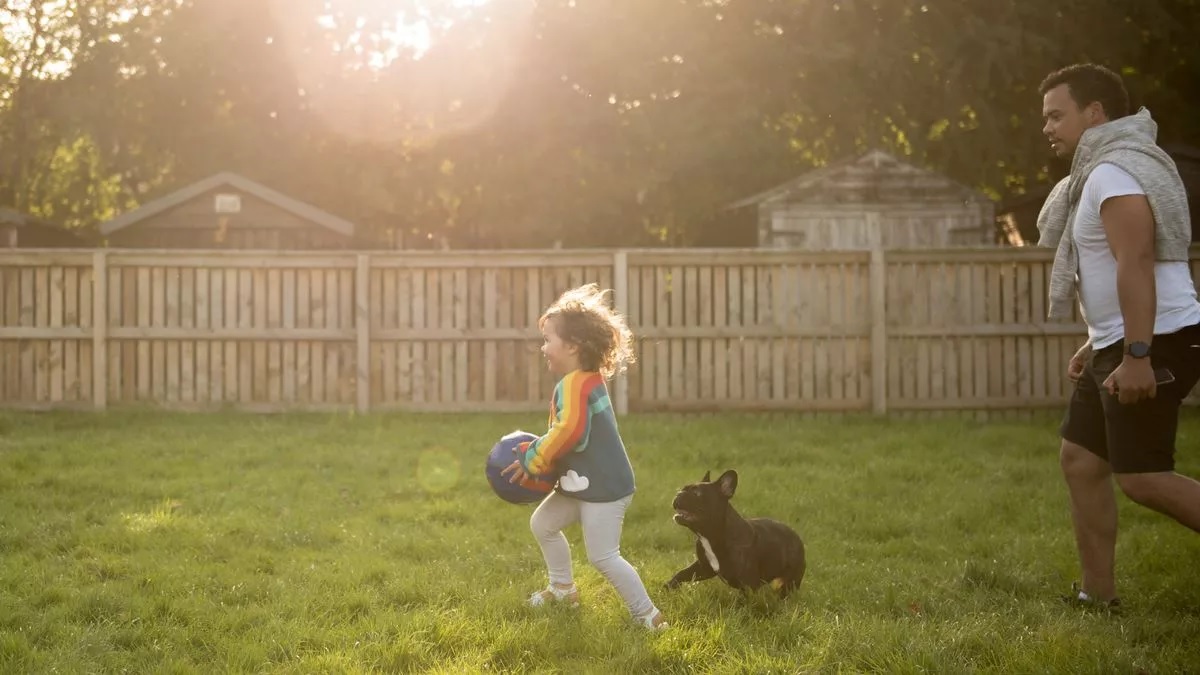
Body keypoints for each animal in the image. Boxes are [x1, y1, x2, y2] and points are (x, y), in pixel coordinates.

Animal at [667, 466, 806, 595]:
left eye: (697, 493)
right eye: (683, 489)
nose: (678, 494)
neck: (711, 534)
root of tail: (797, 537)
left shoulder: (748, 585)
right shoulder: (704, 567)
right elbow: (682, 573)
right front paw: (668, 587)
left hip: (789, 580)